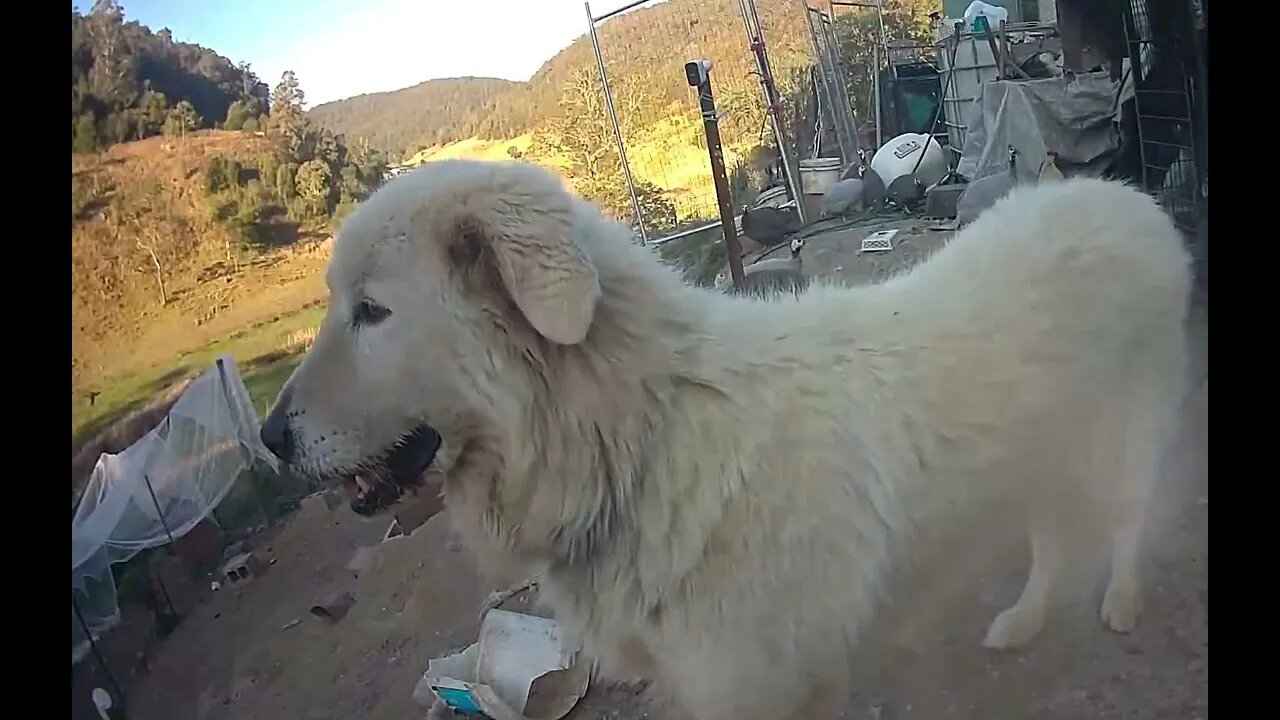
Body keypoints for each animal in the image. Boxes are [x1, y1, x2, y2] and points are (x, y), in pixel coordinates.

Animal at [259, 159, 1187, 712]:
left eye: (370, 311)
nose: (268, 438)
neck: (643, 443)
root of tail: (1121, 193)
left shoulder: (764, 687)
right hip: (1040, 458)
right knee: (1054, 541)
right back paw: (1025, 619)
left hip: (1126, 434)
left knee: (1128, 519)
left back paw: (1122, 600)